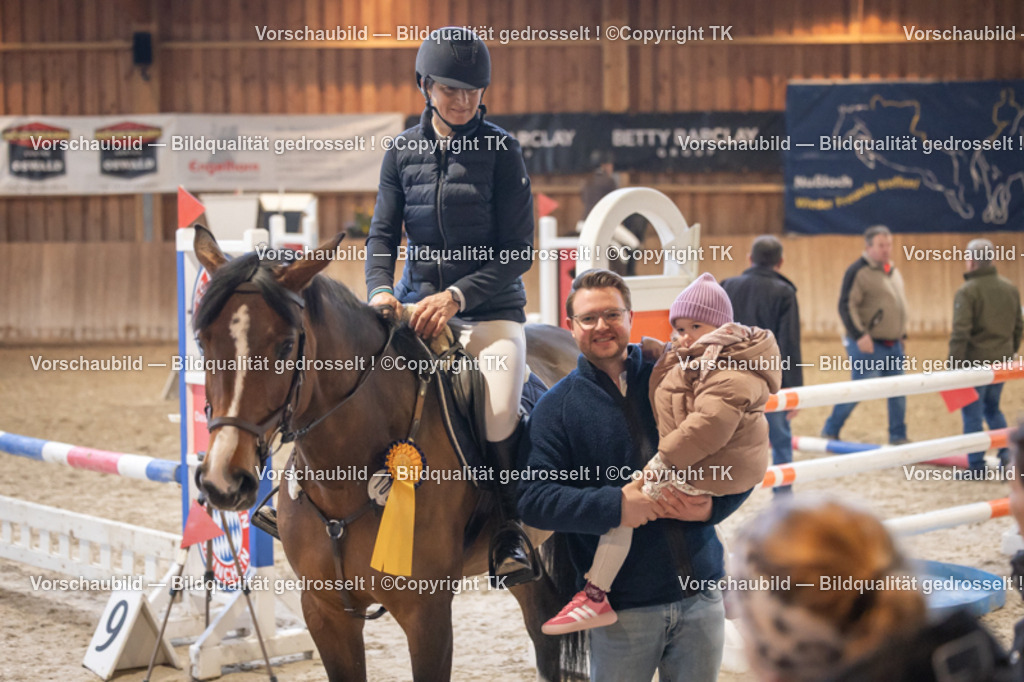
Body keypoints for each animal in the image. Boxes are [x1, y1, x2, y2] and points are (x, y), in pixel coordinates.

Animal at [191, 226, 583, 681]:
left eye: (286, 345)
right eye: (203, 341)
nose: (224, 480)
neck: (344, 479)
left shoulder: (426, 613)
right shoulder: (324, 611)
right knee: (544, 625)